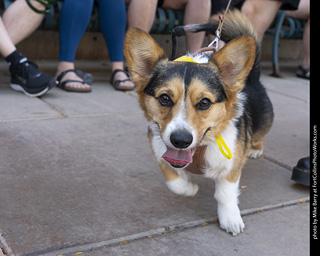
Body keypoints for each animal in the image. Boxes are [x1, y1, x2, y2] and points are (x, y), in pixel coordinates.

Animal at [124, 12, 272, 236]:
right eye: (165, 98)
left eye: (204, 102)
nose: (180, 141)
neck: (200, 149)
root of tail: (252, 78)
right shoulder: (160, 152)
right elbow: (173, 180)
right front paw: (190, 188)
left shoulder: (232, 165)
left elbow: (225, 193)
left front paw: (230, 219)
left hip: (264, 122)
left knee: (260, 135)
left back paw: (255, 149)